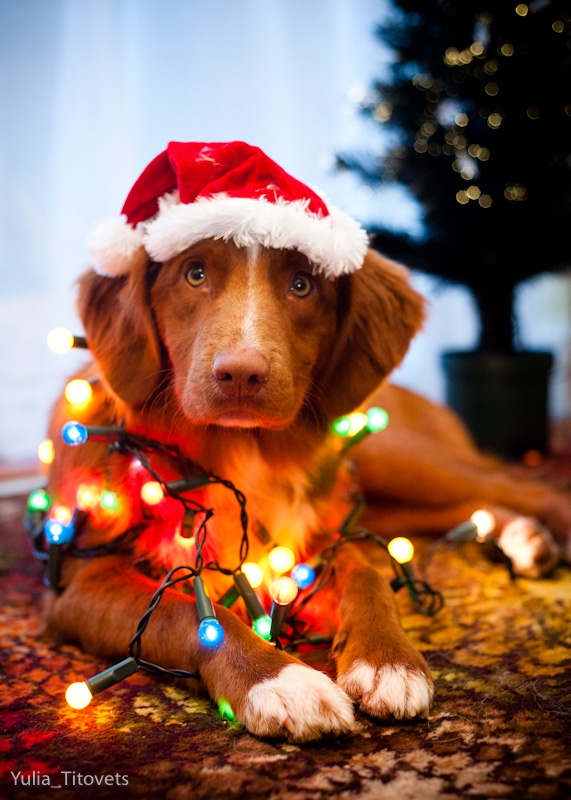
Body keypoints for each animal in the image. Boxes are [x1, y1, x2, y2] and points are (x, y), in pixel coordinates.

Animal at [41, 141, 568, 740]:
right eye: (194, 274)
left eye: (302, 285)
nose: (240, 374)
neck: (240, 451)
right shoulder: (81, 580)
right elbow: (189, 610)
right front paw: (278, 680)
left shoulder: (316, 537)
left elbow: (366, 572)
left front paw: (389, 659)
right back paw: (525, 538)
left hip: (392, 456)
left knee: (517, 484)